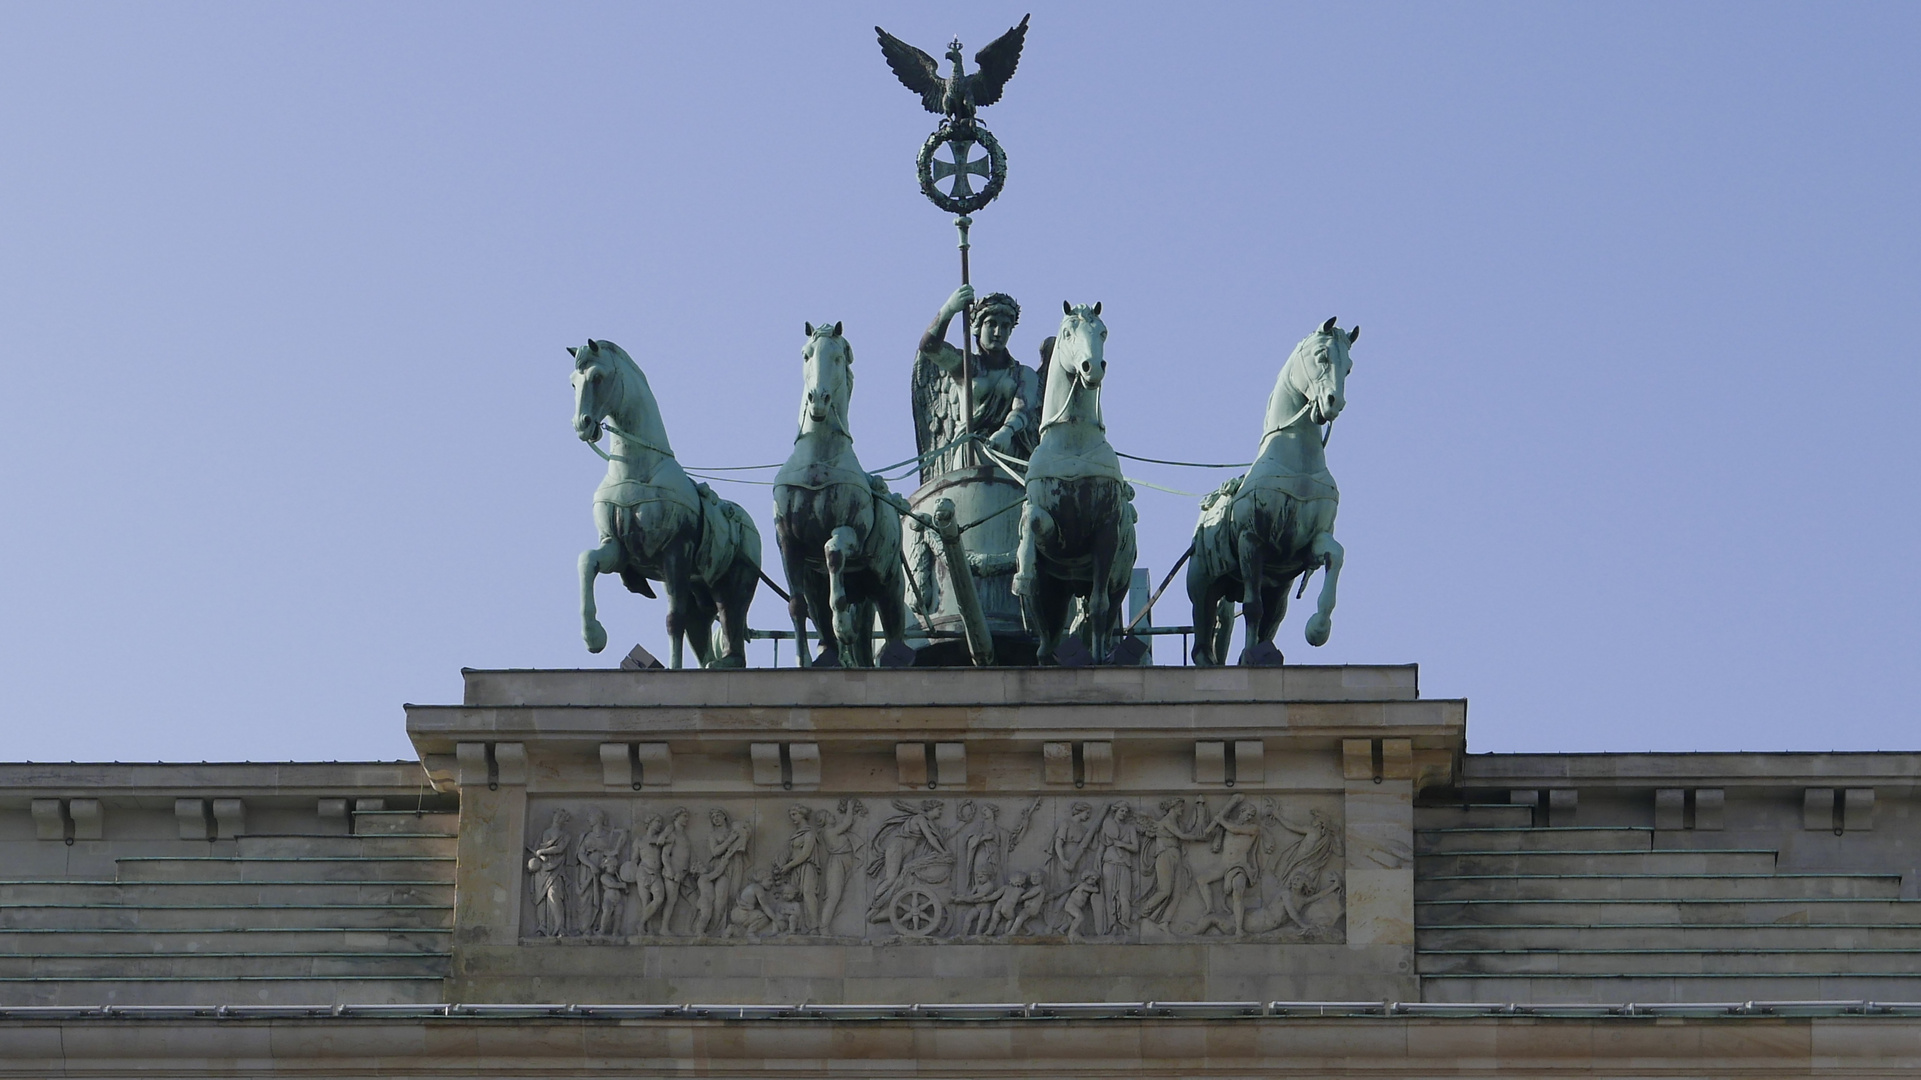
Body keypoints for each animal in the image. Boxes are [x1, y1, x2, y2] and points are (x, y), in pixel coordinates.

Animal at [568, 340, 756, 668]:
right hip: (699, 592)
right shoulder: (616, 548)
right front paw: (594, 636)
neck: (635, 469)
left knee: (730, 618)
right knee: (700, 629)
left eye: (598, 377)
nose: (583, 425)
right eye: (572, 382)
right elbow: (587, 560)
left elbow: (673, 619)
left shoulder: (675, 553)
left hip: (734, 585)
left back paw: (726, 662)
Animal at [768, 319, 910, 664]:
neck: (818, 459)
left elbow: (832, 551)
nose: (818, 399)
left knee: (894, 631)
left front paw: (842, 625)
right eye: (806, 354)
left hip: (888, 584)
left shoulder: (851, 531)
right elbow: (796, 605)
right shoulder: (786, 542)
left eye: (837, 357)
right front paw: (803, 661)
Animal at [1014, 297, 1129, 661]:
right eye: (1067, 333)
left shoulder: (1106, 531)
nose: (1092, 368)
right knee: (1045, 636)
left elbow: (1099, 606)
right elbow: (1032, 520)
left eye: (1103, 332)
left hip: (1116, 581)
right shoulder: (1055, 531)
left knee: (1102, 614)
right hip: (1056, 590)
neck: (1073, 441)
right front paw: (1022, 571)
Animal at [1175, 315, 1360, 661]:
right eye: (1322, 356)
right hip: (1203, 585)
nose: (1334, 403)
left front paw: (1318, 628)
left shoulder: (1310, 543)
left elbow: (1337, 555)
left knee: (1272, 620)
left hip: (1279, 589)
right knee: (1202, 643)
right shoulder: (1251, 541)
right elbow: (1252, 608)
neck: (1297, 464)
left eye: (1349, 367)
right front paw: (1250, 657)